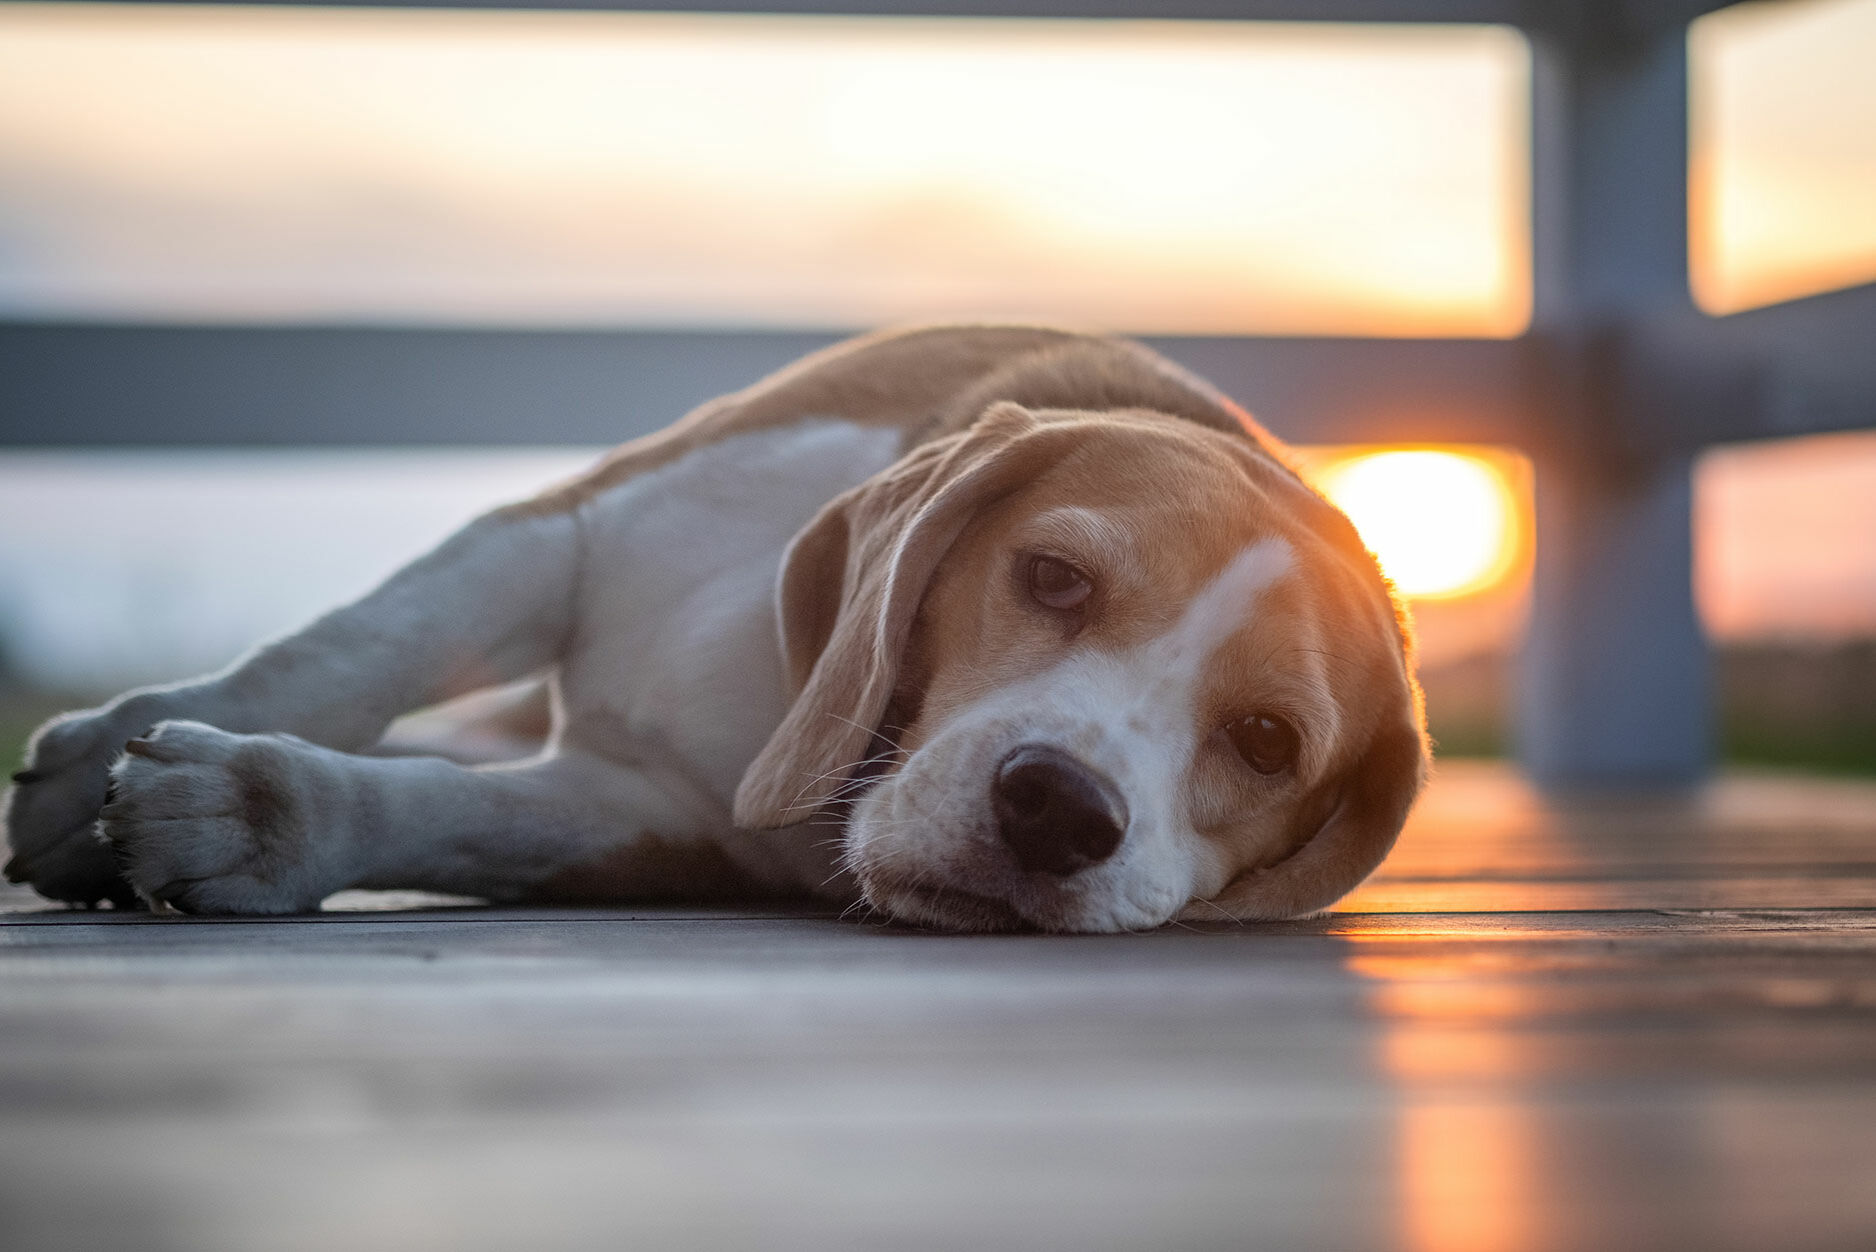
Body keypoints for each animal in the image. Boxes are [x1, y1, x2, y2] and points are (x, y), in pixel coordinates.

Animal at [3, 328, 1418, 934]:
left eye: (1265, 741)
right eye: (1055, 577)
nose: (1060, 810)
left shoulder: (643, 815)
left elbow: (453, 811)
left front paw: (252, 813)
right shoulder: (561, 533)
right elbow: (350, 651)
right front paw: (101, 775)